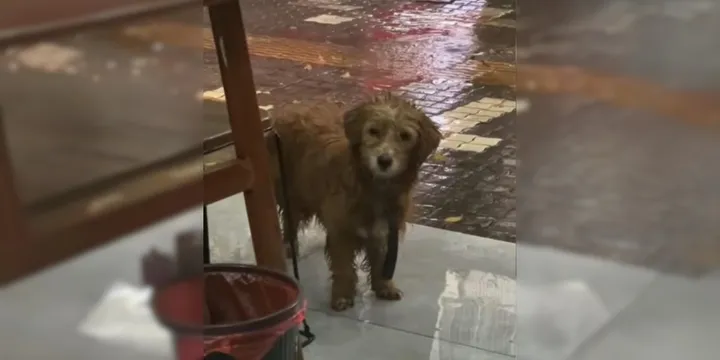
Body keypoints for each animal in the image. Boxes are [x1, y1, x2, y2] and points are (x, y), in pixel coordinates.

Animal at [268, 93, 442, 312]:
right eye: (373, 131)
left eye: (405, 136)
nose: (384, 161)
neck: (374, 187)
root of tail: (291, 107)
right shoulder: (341, 231)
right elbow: (343, 267)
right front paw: (342, 295)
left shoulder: (385, 229)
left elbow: (381, 260)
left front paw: (384, 286)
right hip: (293, 192)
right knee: (289, 220)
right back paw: (289, 245)